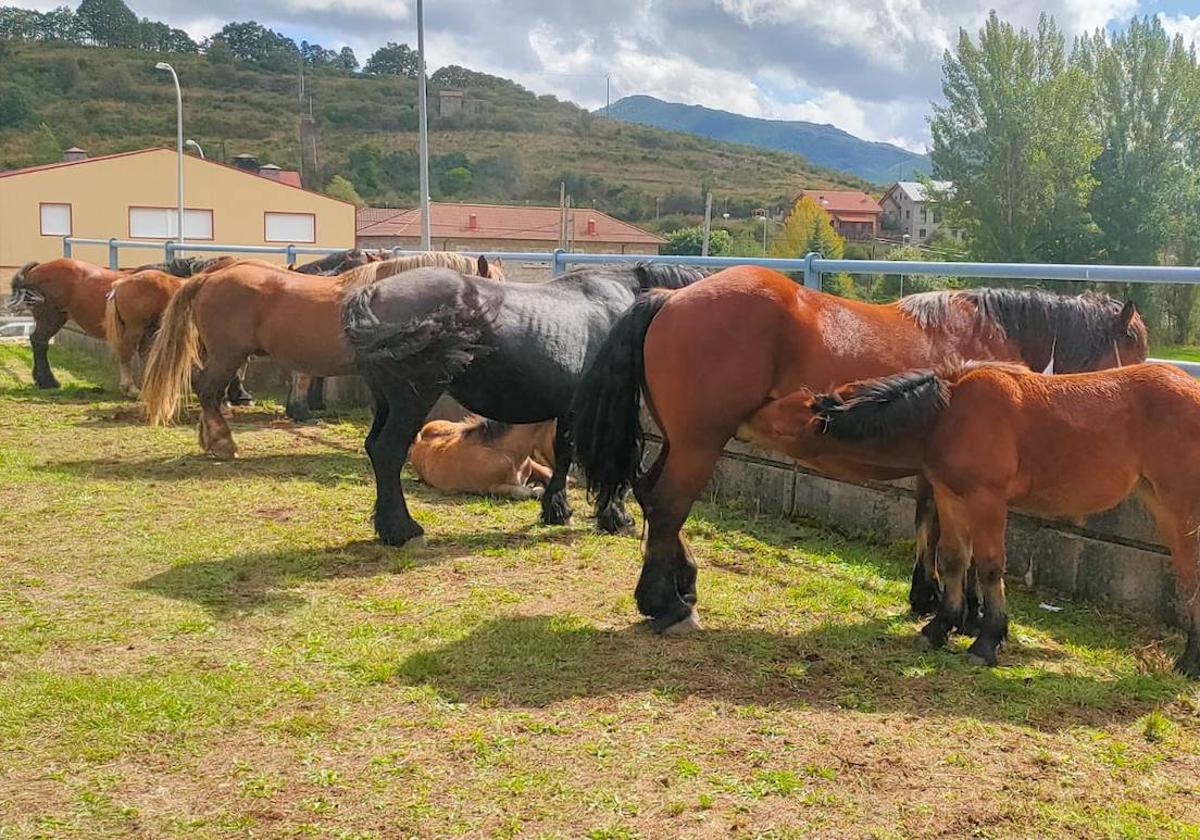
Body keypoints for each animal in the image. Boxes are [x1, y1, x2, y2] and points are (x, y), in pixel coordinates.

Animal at [571, 265, 1152, 633]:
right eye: (1136, 348)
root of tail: (669, 299)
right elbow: (949, 535)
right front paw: (958, 611)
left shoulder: (934, 469)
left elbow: (928, 525)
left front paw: (928, 598)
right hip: (698, 443)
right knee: (670, 504)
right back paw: (665, 603)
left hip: (680, 441)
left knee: (652, 497)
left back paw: (681, 583)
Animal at [739, 360, 1200, 676]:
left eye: (779, 423)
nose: (741, 418)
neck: (949, 413)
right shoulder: (950, 497)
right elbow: (953, 560)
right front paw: (941, 626)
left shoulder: (987, 500)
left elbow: (991, 566)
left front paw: (987, 639)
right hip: (1161, 504)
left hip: (1182, 508)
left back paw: (1189, 662)